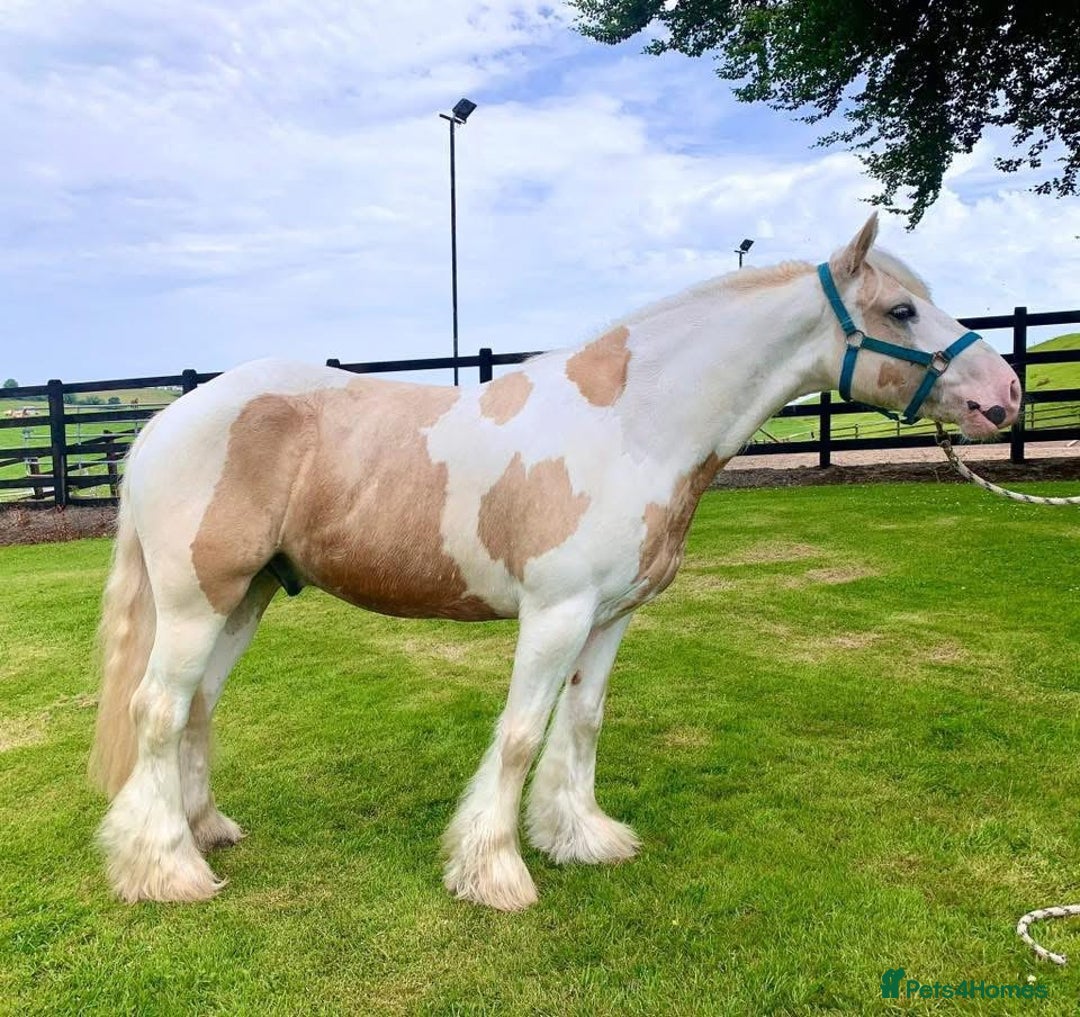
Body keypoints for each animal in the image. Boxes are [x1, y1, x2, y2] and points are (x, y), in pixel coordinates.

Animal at [89, 214, 1021, 911]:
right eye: (901, 311)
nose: (1004, 394)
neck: (633, 425)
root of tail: (165, 421)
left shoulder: (609, 617)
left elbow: (582, 724)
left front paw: (580, 836)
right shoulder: (556, 613)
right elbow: (520, 733)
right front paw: (494, 872)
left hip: (245, 599)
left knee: (198, 708)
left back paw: (205, 830)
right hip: (196, 603)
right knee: (157, 711)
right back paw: (169, 869)